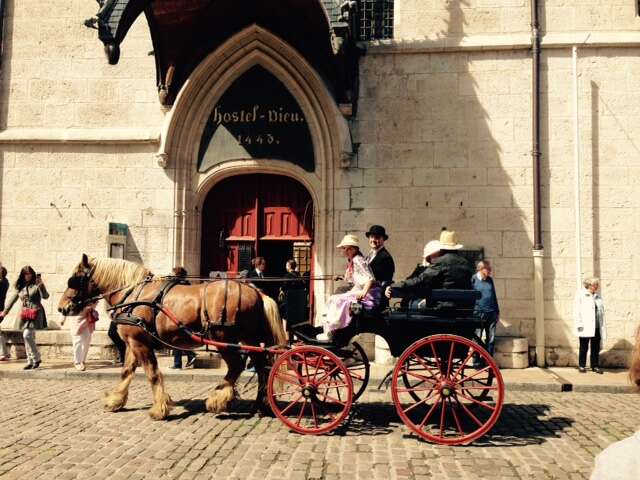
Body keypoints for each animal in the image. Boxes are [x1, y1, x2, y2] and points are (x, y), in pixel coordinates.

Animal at [58, 255, 286, 420]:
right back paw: (260, 405)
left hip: (223, 338)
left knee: (237, 365)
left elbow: (152, 374)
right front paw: (116, 400)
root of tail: (257, 292)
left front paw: (159, 408)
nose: (62, 307)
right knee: (262, 366)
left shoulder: (140, 342)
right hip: (249, 339)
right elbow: (126, 372)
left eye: (74, 280)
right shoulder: (132, 342)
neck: (134, 294)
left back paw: (217, 399)